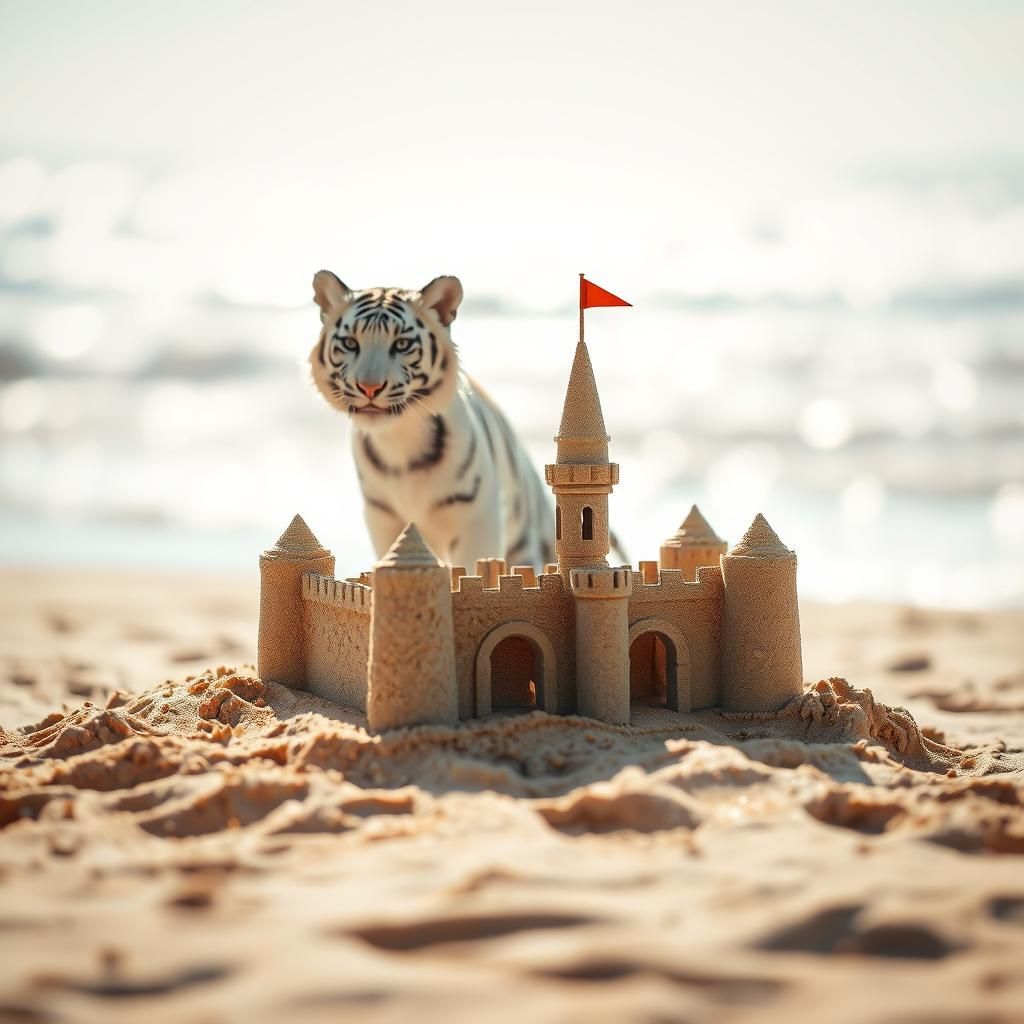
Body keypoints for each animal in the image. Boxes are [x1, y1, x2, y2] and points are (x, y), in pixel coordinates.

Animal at [308, 271, 555, 571]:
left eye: (402, 344)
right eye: (350, 343)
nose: (369, 387)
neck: (399, 441)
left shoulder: (478, 521)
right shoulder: (383, 519)